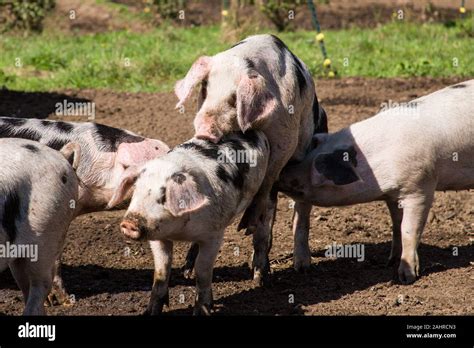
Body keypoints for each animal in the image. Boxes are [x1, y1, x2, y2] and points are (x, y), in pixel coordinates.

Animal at [108, 131, 270, 316]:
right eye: (136, 189)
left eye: (164, 197)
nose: (129, 223)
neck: (179, 231)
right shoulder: (158, 238)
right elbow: (162, 269)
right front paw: (149, 312)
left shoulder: (214, 234)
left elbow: (203, 270)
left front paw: (202, 311)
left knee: (264, 226)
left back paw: (259, 280)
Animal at [278, 80, 474, 284]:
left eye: (299, 187)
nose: (282, 172)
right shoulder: (393, 195)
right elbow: (396, 225)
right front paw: (390, 261)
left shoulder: (420, 186)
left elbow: (408, 229)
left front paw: (406, 277)